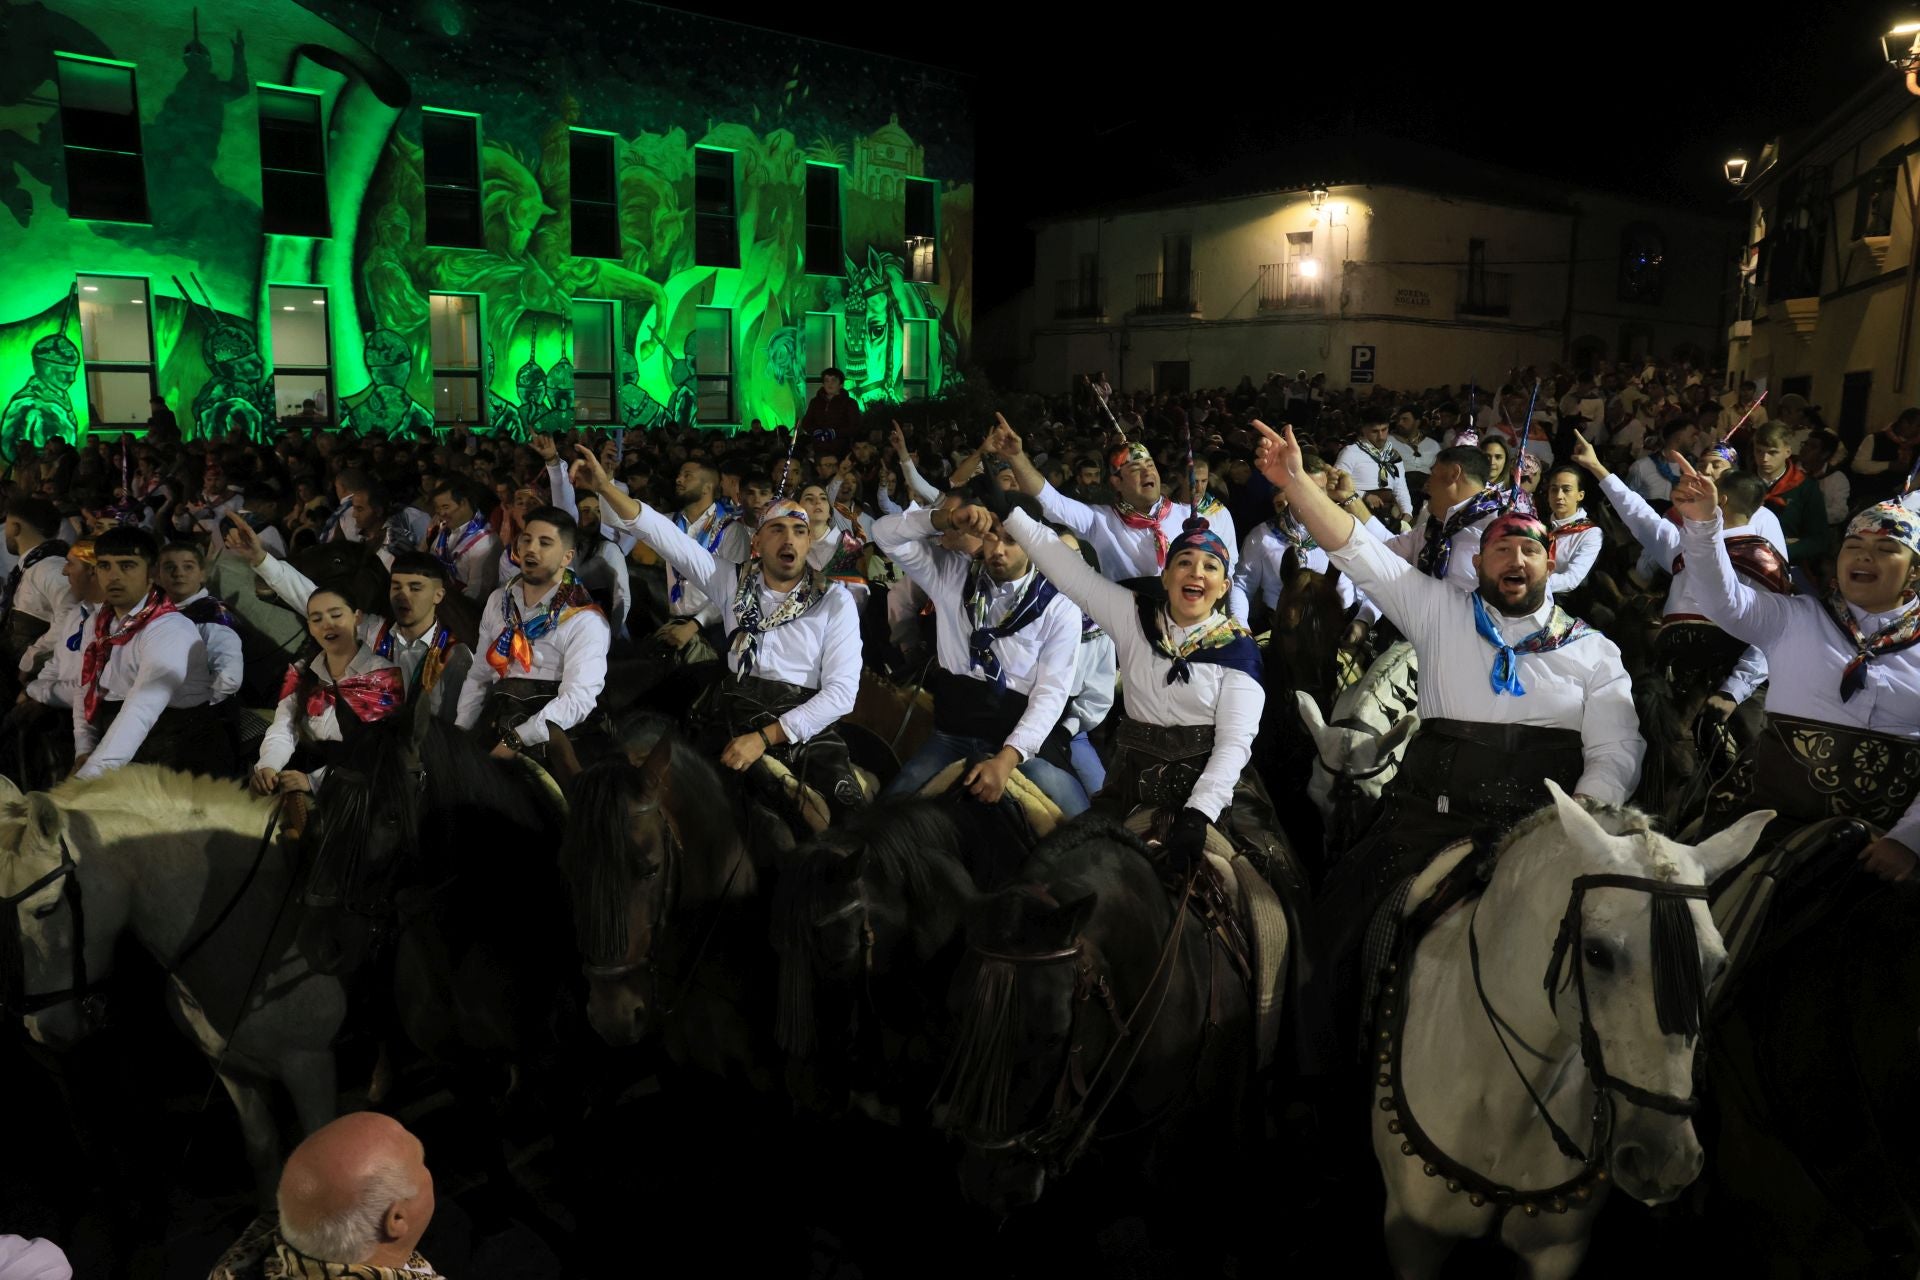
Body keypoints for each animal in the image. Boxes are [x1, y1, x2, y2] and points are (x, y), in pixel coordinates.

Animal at [1382, 782, 1766, 1280]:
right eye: (1596, 954)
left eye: (1717, 965)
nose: (1665, 1160)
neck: (1508, 1105)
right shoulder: (1414, 1240)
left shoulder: (1558, 1251)